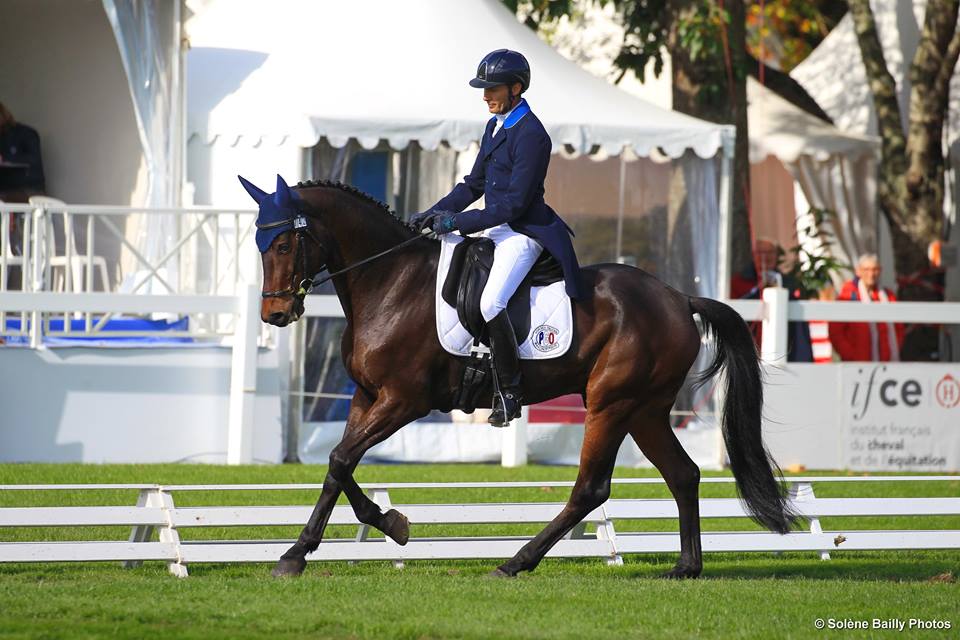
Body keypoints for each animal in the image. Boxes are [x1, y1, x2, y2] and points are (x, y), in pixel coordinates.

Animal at [253, 176, 796, 580]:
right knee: (683, 474)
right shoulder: (366, 397)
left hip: (611, 403)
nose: (275, 315)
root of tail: (679, 298)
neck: (390, 281)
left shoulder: (404, 401)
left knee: (591, 489)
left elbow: (341, 459)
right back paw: (686, 567)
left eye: (282, 243)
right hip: (645, 410)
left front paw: (310, 549)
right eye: (260, 244)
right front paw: (369, 529)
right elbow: (339, 465)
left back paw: (516, 562)